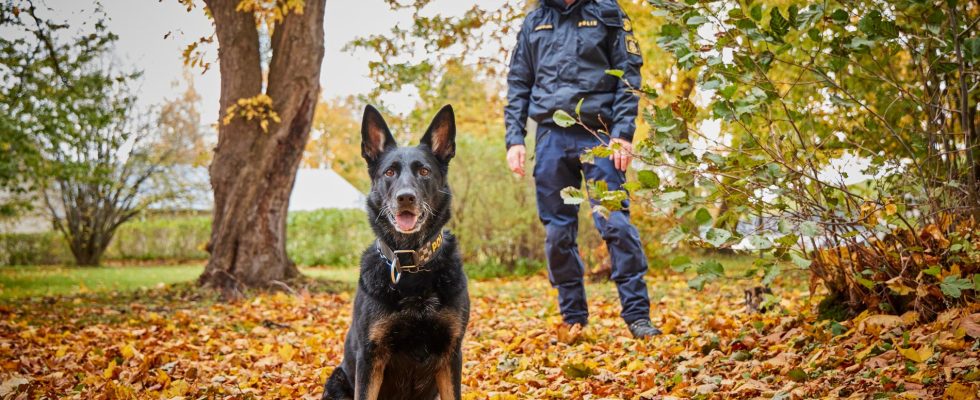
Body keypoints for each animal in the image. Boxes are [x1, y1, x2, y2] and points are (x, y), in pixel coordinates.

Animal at [322, 104, 470, 398]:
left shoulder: (451, 354)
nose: (405, 197)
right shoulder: (370, 358)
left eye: (424, 172)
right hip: (336, 380)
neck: (410, 262)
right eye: (389, 173)